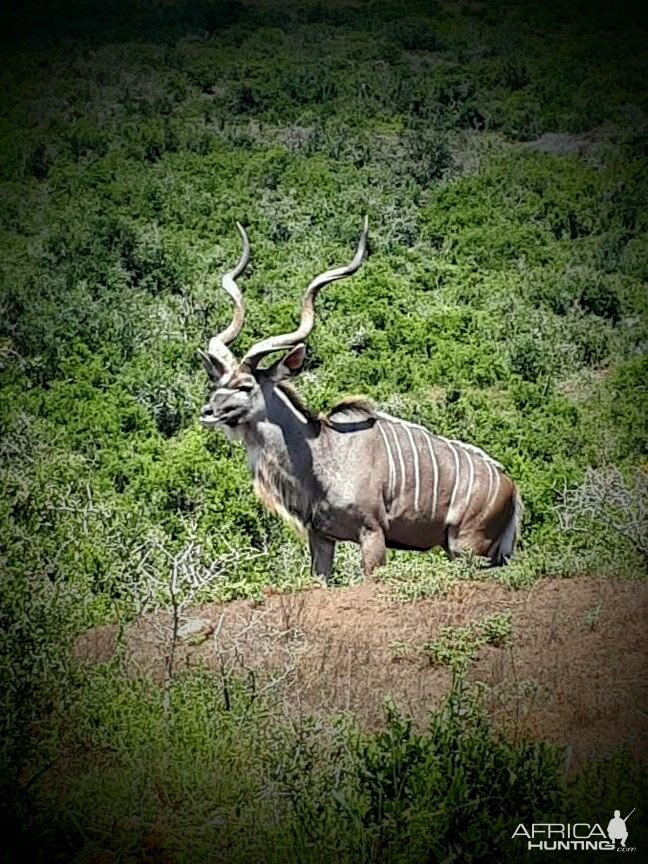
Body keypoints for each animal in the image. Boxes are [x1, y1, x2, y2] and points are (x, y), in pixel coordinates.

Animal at [200, 216, 520, 584]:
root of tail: (512, 489)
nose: (207, 411)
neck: (321, 453)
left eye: (246, 385)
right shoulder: (321, 538)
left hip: (466, 547)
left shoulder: (373, 534)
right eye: (217, 381)